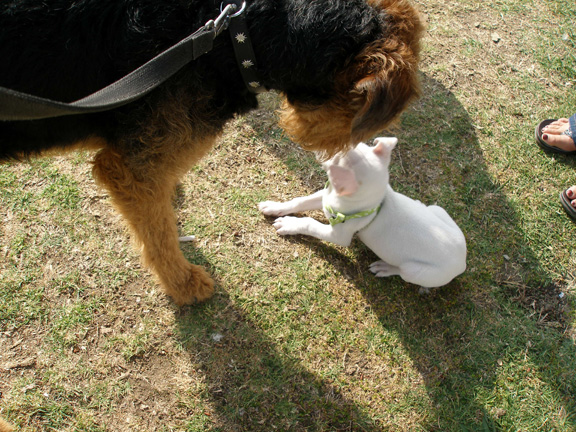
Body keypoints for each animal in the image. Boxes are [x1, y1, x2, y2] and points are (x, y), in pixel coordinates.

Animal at [260, 137, 468, 288]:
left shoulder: (338, 235)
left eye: (336, 156)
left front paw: (289, 224)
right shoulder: (325, 197)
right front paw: (274, 206)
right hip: (438, 210)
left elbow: (309, 223)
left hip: (416, 271)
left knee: (402, 271)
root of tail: (463, 261)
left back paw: (384, 268)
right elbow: (300, 201)